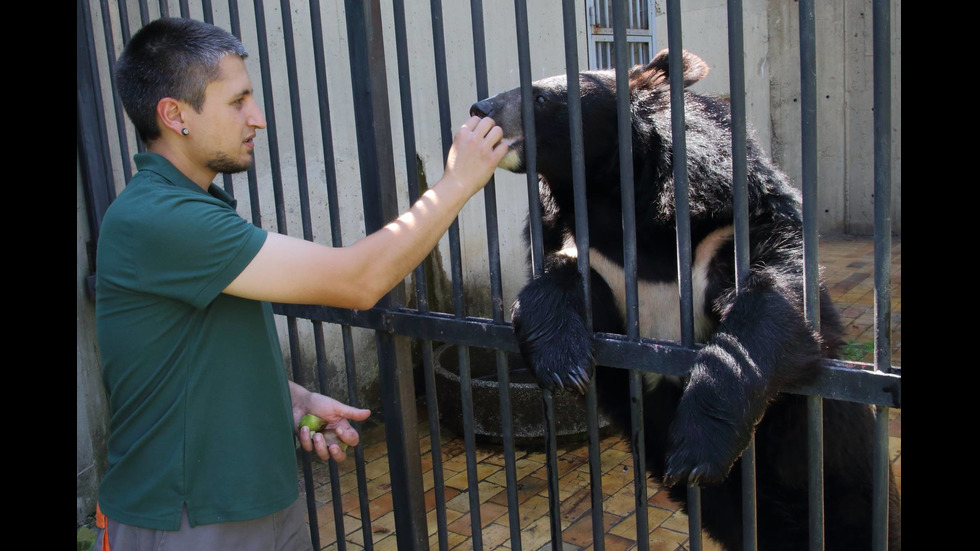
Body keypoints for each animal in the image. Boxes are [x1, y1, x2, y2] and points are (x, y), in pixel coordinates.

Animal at [470, 49, 900, 548]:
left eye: (539, 97)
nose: (479, 109)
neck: (609, 198)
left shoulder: (729, 218)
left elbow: (770, 305)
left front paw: (696, 451)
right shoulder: (583, 245)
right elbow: (561, 277)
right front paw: (564, 365)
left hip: (837, 463)